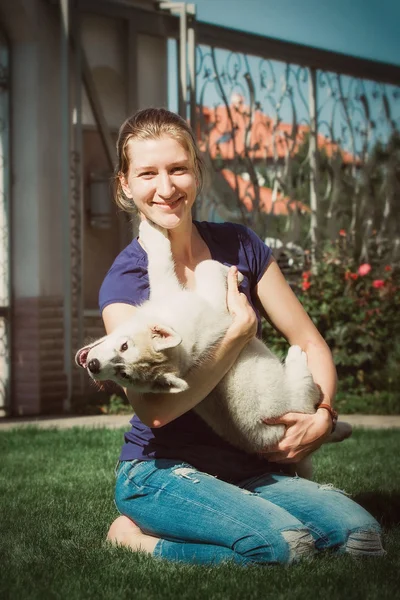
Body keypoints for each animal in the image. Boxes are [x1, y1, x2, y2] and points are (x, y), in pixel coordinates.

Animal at [76, 220, 346, 460]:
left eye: (124, 347)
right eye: (124, 375)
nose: (94, 366)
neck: (183, 345)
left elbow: (189, 266)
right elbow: (187, 266)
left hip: (296, 398)